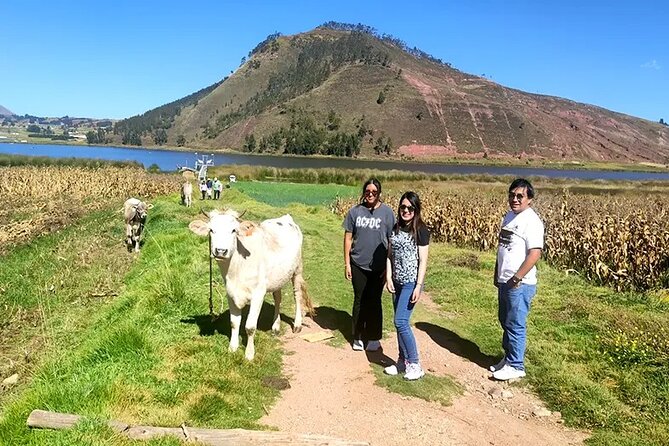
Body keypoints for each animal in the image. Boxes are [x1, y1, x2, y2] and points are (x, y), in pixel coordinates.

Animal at [188, 208, 314, 358]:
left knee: (297, 294)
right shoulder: (230, 293)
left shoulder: (258, 294)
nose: (220, 251)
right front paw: (232, 348)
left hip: (298, 269)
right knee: (278, 298)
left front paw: (249, 354)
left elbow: (250, 326)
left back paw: (297, 324)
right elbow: (234, 323)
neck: (236, 270)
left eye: (234, 230)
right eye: (211, 230)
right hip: (277, 277)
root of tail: (286, 218)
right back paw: (275, 326)